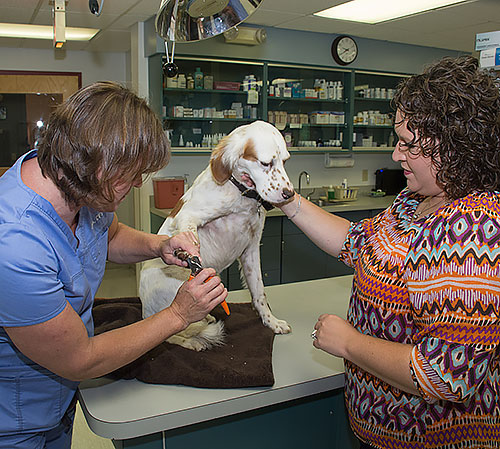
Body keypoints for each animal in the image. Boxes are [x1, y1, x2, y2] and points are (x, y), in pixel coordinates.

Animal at [139, 119, 294, 350]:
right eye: (265, 163)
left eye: (285, 161)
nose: (289, 194)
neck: (241, 194)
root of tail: (143, 311)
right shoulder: (188, 216)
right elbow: (190, 239)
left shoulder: (251, 248)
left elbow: (259, 292)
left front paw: (271, 322)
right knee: (168, 331)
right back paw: (192, 340)